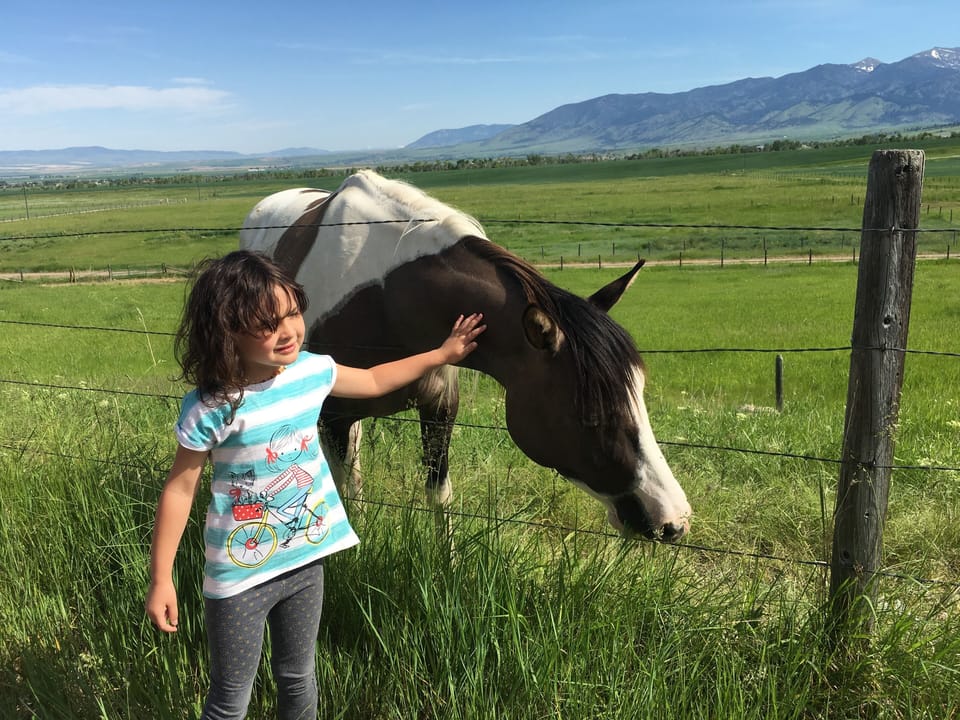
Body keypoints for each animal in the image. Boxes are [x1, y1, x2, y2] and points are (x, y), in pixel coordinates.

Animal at [240, 170, 691, 541]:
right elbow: (345, 494)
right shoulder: (334, 415)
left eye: (639, 395)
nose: (673, 520)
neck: (386, 301)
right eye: (590, 414)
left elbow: (438, 493)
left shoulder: (439, 407)